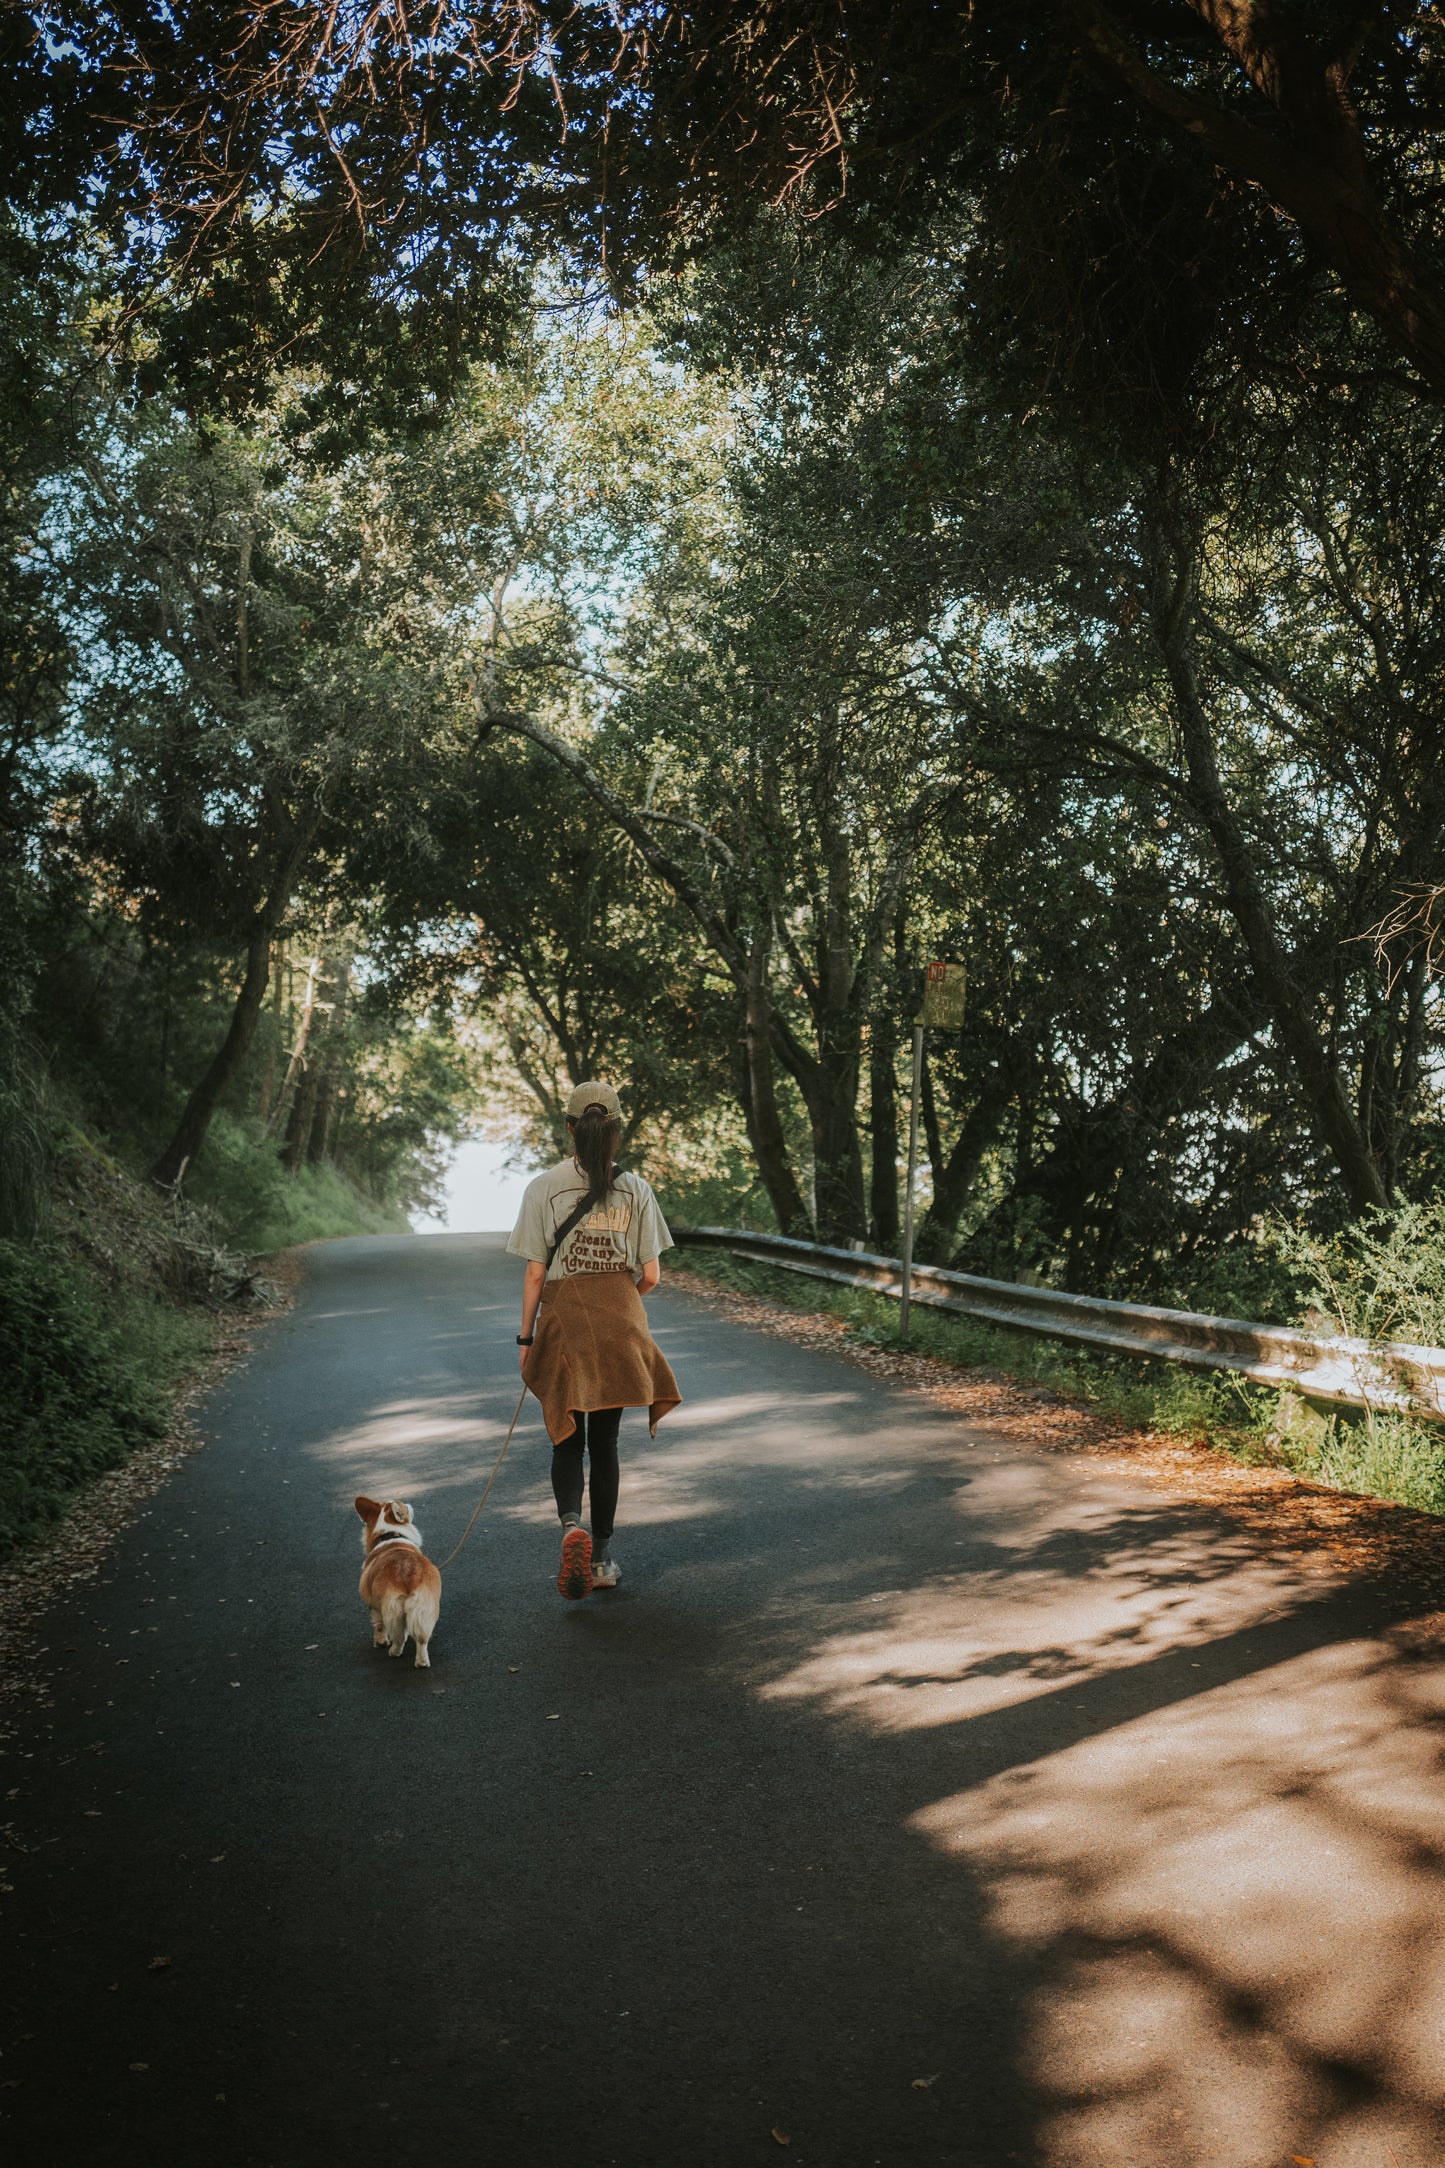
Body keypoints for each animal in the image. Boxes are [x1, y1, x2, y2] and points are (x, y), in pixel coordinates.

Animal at [353, 1500, 437, 1665]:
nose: (410, 1503)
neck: (390, 1535)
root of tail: (408, 1577)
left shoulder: (374, 1607)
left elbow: (379, 1626)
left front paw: (380, 1642)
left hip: (392, 1610)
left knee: (399, 1637)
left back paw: (394, 1652)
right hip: (425, 1606)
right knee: (422, 1638)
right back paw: (422, 1662)